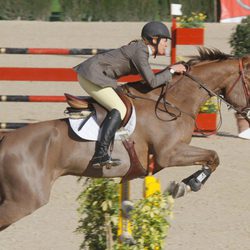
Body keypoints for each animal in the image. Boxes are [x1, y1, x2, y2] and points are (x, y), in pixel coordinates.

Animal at [0, 47, 250, 231]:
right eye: (249, 82)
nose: (247, 115)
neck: (173, 103)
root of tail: (7, 140)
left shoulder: (158, 161)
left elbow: (212, 158)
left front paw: (186, 184)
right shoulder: (169, 154)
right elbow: (213, 156)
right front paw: (189, 185)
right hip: (25, 200)